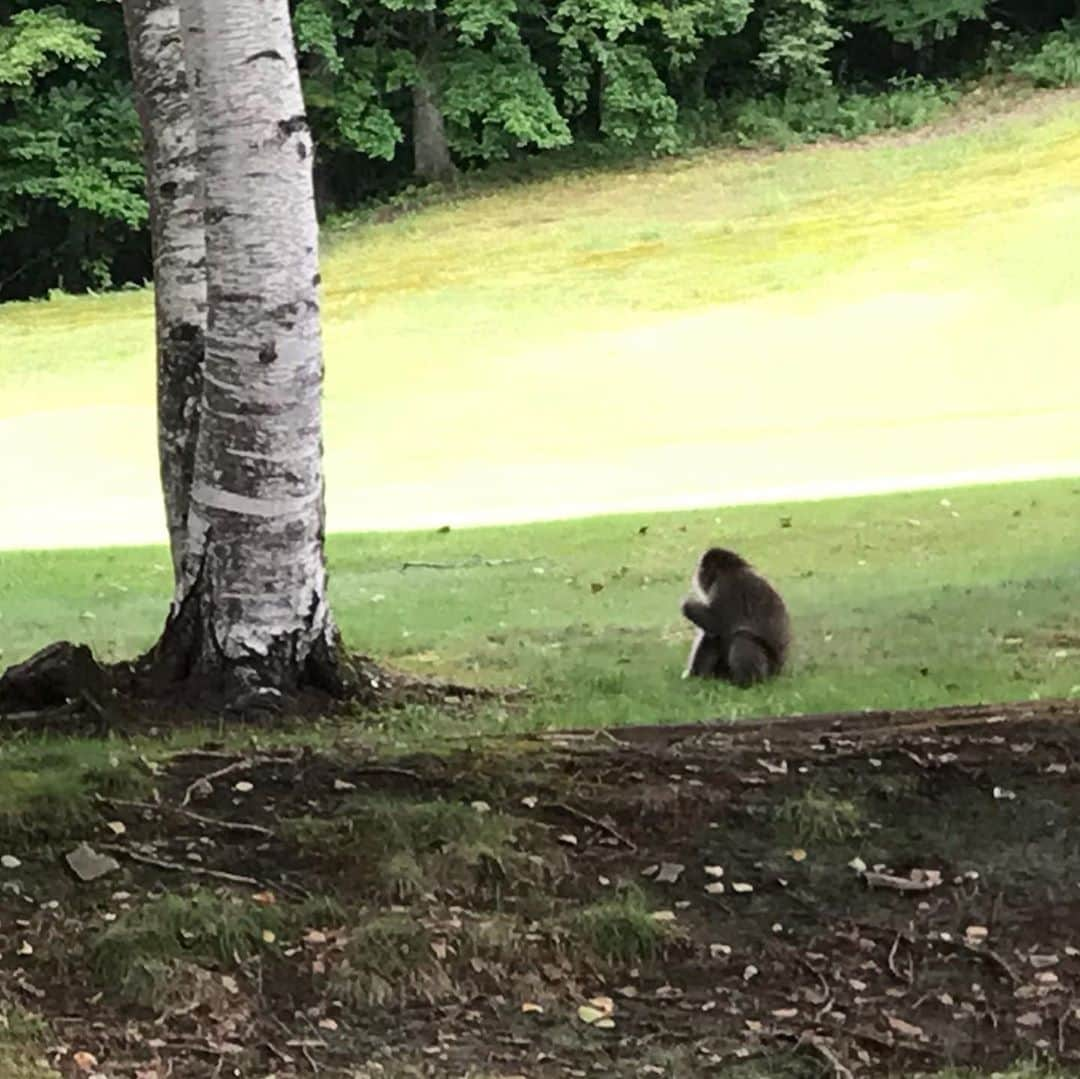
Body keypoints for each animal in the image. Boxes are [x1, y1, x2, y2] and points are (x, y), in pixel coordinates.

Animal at [678, 553, 790, 686]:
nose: (696, 576)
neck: (732, 568)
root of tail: (780, 672)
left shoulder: (725, 585)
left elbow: (717, 623)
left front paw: (687, 604)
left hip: (770, 671)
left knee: (742, 637)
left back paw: (745, 682)